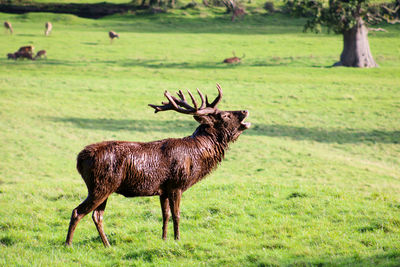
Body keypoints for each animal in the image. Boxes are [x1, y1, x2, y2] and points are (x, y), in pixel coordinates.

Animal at [67, 85, 252, 248]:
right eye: (225, 115)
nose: (245, 111)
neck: (196, 157)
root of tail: (79, 159)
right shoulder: (176, 185)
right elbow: (177, 215)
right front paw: (177, 239)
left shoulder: (163, 190)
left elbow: (165, 215)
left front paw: (164, 239)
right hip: (100, 186)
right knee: (78, 212)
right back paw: (68, 244)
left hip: (105, 188)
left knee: (97, 216)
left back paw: (107, 245)